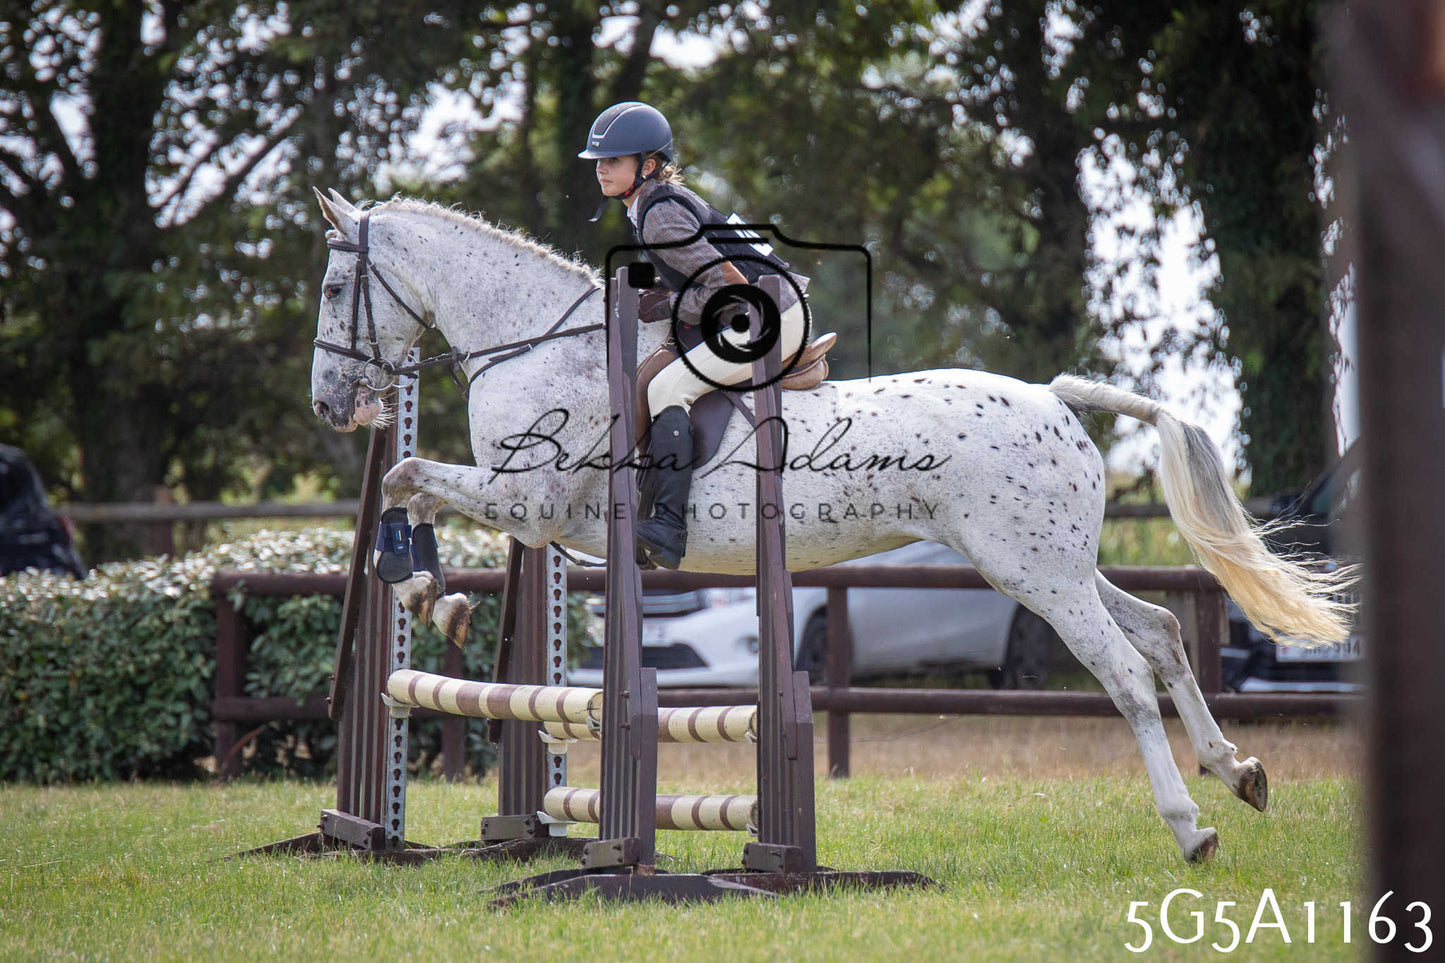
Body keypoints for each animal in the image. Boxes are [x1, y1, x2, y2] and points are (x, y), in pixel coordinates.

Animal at [307, 189, 1352, 863]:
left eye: (329, 288)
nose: (329, 404)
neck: (534, 344)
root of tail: (1055, 396)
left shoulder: (525, 502)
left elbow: (405, 476)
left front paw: (426, 593)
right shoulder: (528, 516)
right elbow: (408, 487)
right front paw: (430, 595)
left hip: (1033, 575)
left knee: (1127, 675)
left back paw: (1190, 826)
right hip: (1047, 562)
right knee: (1165, 633)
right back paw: (1237, 772)